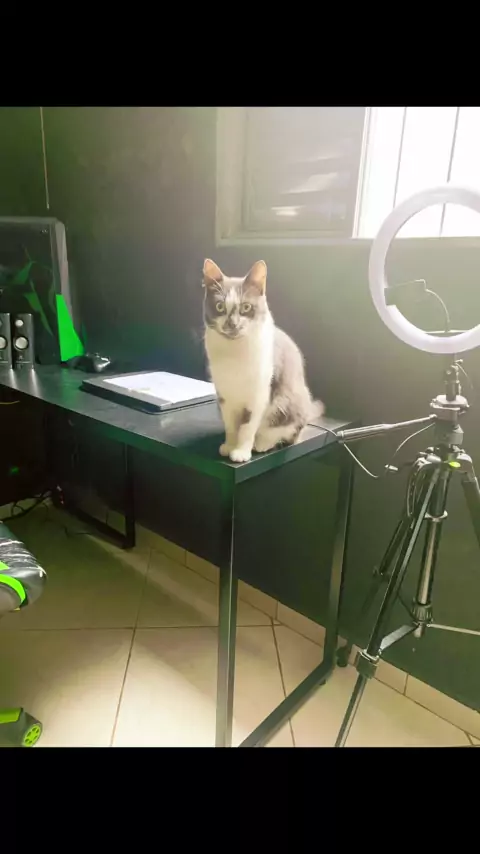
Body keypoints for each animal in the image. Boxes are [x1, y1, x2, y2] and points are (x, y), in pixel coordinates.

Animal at [202, 258, 324, 463]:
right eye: (220, 307)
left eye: (246, 307)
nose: (232, 324)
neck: (235, 351)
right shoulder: (224, 394)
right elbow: (231, 424)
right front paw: (229, 445)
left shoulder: (259, 393)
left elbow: (247, 426)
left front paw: (241, 451)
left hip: (290, 402)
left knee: (287, 433)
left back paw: (262, 443)